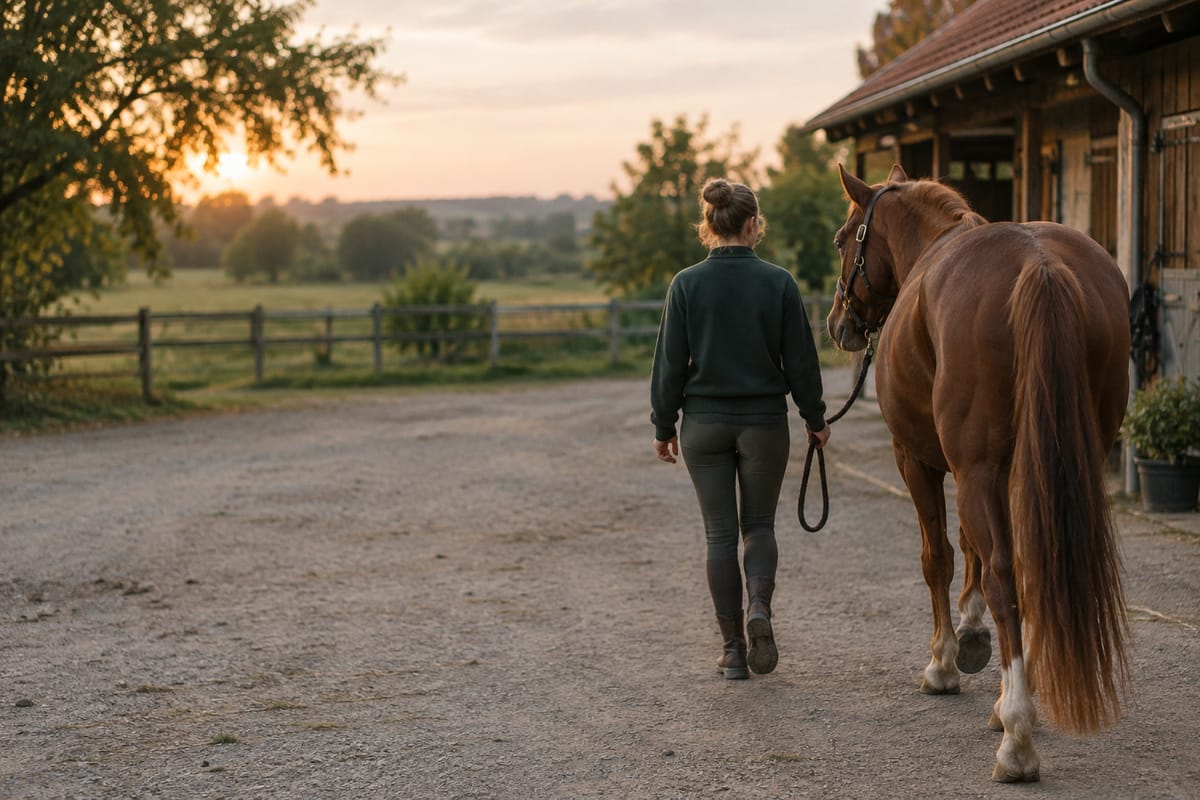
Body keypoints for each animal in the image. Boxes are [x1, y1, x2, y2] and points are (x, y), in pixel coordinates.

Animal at [828, 164, 1130, 782]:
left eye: (844, 240)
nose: (837, 322)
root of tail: (1041, 266)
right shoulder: (1006, 467)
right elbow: (972, 548)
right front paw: (972, 636)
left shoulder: (921, 460)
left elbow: (940, 556)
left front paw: (946, 660)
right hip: (1062, 459)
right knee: (1035, 565)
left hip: (973, 471)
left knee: (1003, 576)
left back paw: (1016, 734)